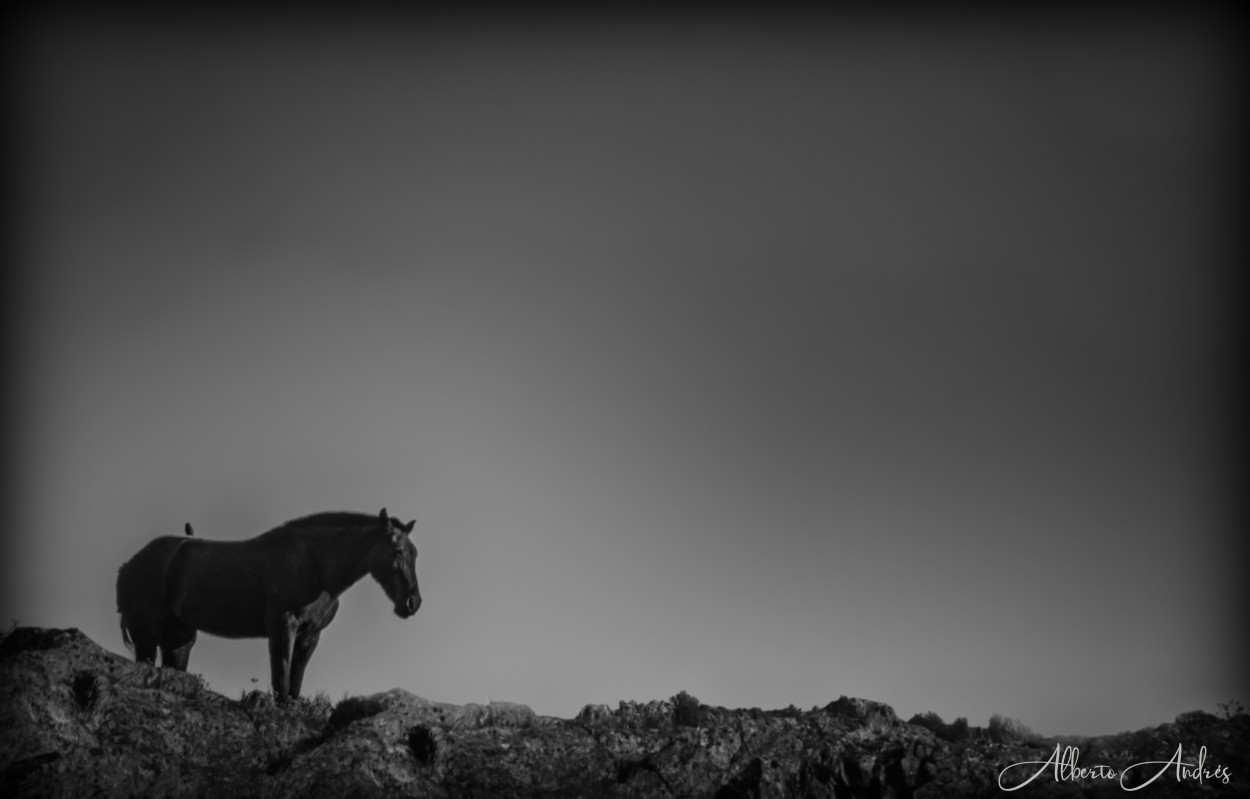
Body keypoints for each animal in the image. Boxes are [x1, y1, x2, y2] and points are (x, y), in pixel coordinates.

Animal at [116, 510, 422, 705]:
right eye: (397, 551)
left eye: (415, 553)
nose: (413, 602)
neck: (315, 565)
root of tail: (129, 564)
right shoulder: (282, 628)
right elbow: (281, 679)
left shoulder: (310, 636)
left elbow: (295, 683)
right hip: (146, 637)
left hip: (179, 640)